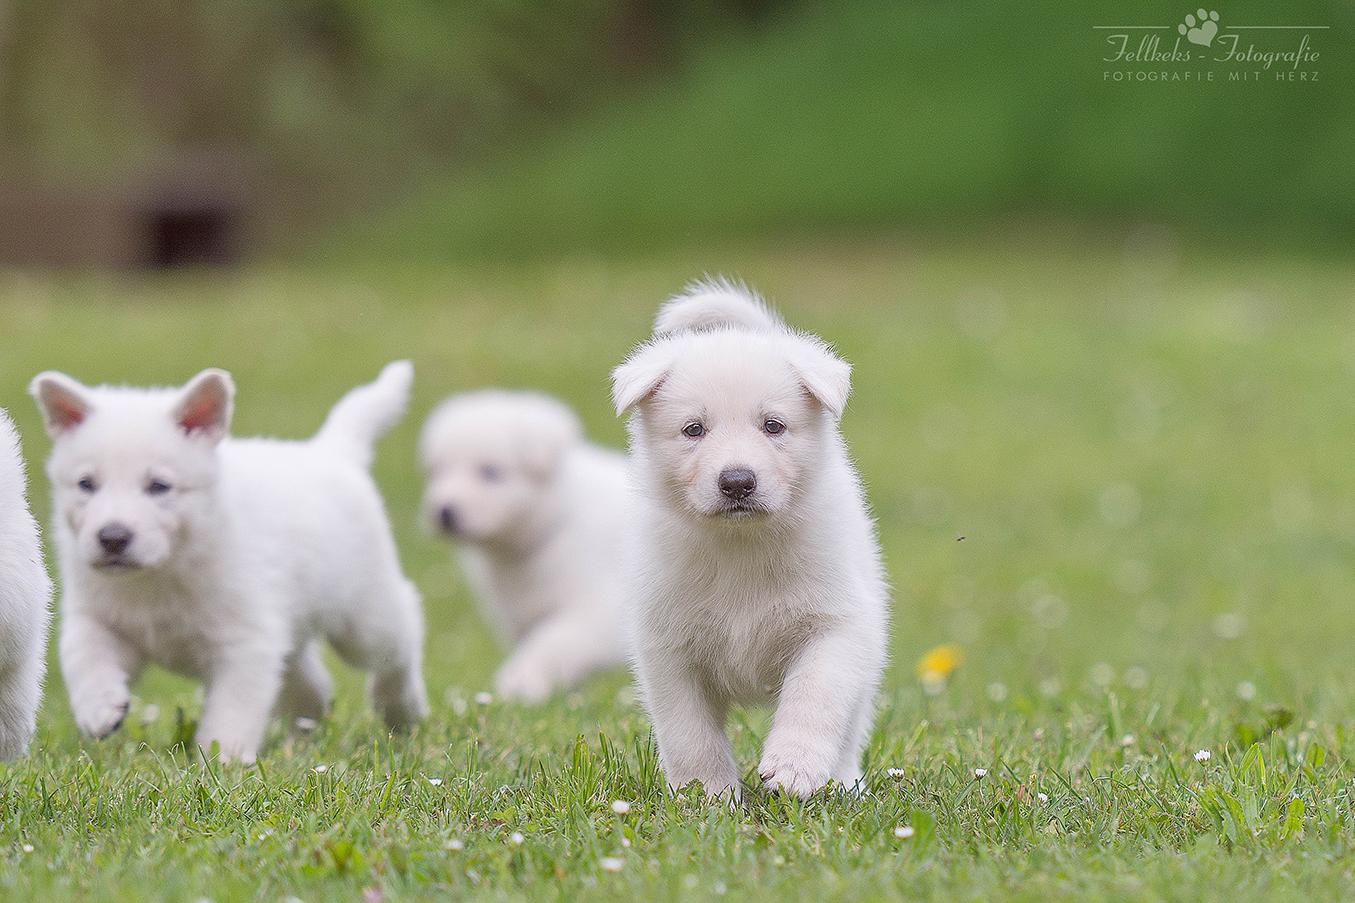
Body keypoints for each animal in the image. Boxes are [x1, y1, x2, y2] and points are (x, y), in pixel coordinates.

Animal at [31, 362, 428, 762]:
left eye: (159, 486)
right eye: (86, 484)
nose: (112, 537)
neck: (161, 573)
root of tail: (332, 451)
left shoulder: (246, 641)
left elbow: (233, 710)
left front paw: (225, 759)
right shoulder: (95, 615)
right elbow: (83, 654)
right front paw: (99, 707)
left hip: (364, 621)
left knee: (401, 637)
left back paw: (402, 711)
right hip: (292, 631)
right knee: (311, 683)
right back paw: (303, 734)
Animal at [419, 390, 629, 702]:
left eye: (490, 471)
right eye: (438, 471)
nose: (445, 512)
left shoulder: (597, 610)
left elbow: (551, 643)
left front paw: (521, 684)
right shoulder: (518, 617)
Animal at [611, 280, 888, 800]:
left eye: (773, 425)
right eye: (694, 429)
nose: (737, 482)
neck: (741, 546)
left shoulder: (836, 623)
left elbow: (815, 696)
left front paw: (794, 767)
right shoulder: (668, 645)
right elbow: (689, 731)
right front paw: (705, 793)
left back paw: (842, 782)